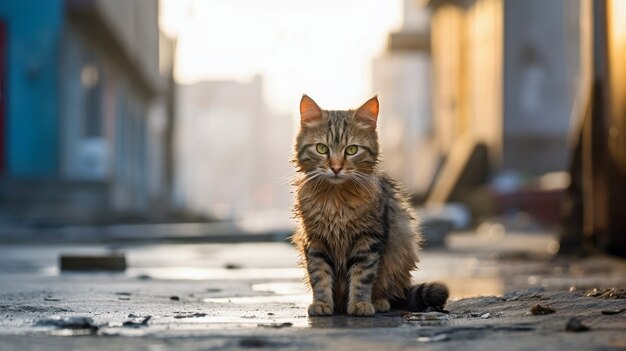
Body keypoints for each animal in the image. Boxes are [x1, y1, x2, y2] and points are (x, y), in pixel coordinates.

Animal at [290, 95, 446, 316]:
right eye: (321, 148)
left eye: (351, 150)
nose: (336, 168)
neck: (335, 199)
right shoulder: (315, 241)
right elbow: (319, 276)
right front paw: (321, 303)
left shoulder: (368, 240)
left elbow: (362, 277)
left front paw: (360, 304)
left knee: (388, 291)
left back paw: (379, 302)